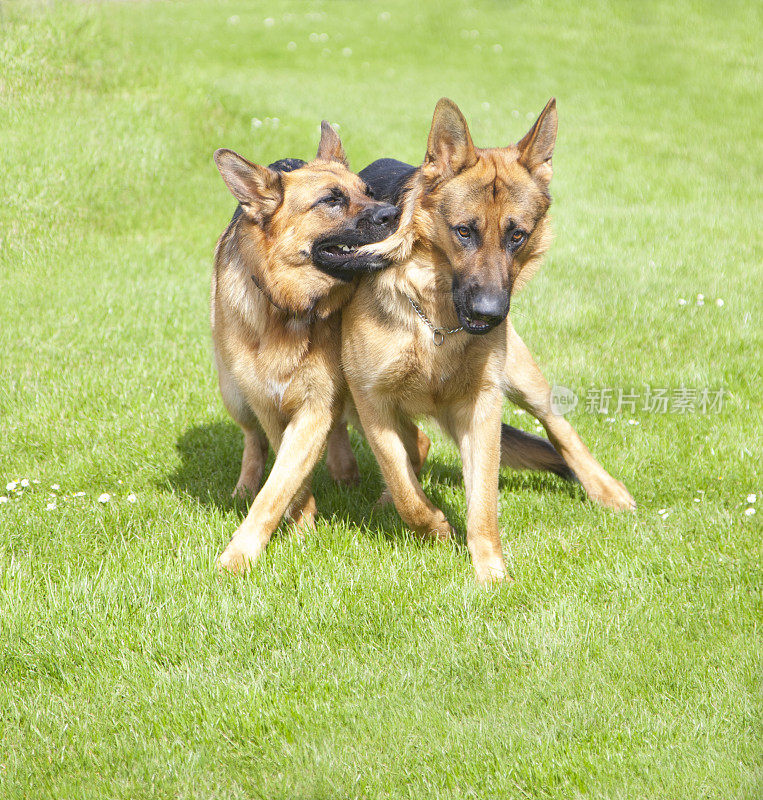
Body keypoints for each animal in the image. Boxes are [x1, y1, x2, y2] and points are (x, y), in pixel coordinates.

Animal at [210, 122, 396, 572]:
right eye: (331, 200)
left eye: (368, 191)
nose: (395, 212)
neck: (288, 309)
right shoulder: (271, 408)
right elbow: (286, 478)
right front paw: (301, 525)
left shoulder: (313, 407)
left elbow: (279, 486)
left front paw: (241, 553)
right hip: (235, 396)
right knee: (253, 443)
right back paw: (244, 486)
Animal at [344, 100, 636, 584]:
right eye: (464, 231)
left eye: (517, 235)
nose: (490, 313)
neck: (436, 321)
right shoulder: (372, 403)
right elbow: (402, 483)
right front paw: (434, 526)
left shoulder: (481, 406)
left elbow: (483, 500)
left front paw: (491, 572)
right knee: (411, 453)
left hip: (522, 378)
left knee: (560, 428)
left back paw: (606, 489)